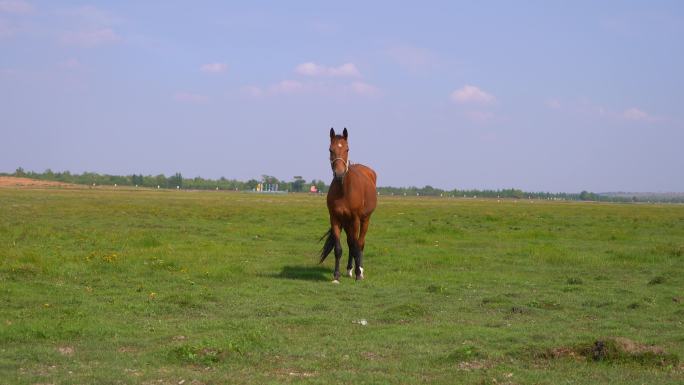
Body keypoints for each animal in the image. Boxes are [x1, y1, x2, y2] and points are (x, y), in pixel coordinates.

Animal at [322, 127, 380, 280]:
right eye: (330, 149)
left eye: (347, 149)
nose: (339, 174)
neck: (344, 190)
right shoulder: (335, 219)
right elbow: (339, 249)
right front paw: (336, 276)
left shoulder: (355, 220)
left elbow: (356, 246)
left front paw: (358, 274)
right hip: (347, 223)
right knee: (350, 243)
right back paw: (349, 269)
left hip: (364, 220)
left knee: (360, 243)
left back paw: (360, 269)